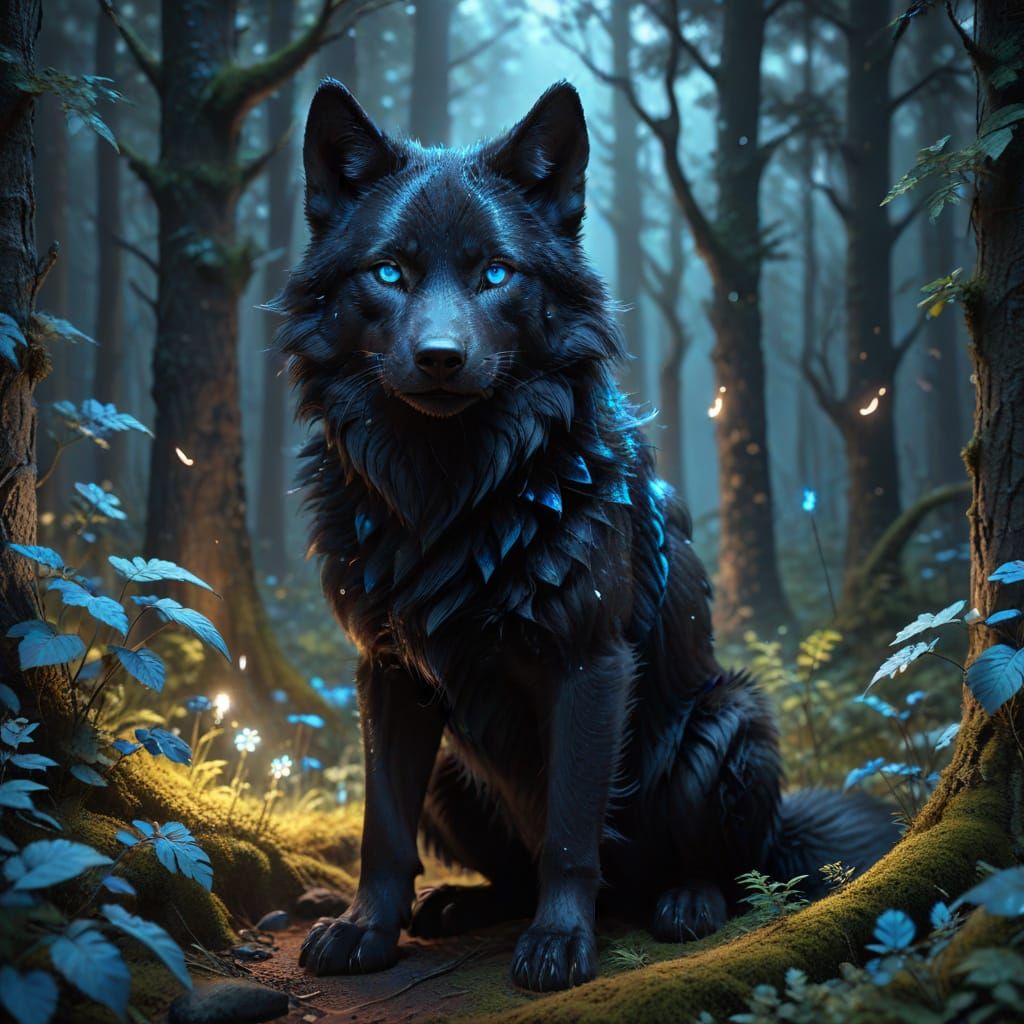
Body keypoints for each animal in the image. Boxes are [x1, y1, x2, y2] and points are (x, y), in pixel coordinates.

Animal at [274, 80, 896, 992]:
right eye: (389, 272)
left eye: (496, 273)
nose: (439, 357)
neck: (451, 497)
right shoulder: (387, 672)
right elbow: (381, 828)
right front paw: (365, 931)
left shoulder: (588, 662)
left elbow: (571, 830)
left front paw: (561, 943)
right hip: (454, 770)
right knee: (509, 869)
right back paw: (463, 905)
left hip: (728, 723)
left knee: (718, 870)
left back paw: (684, 903)